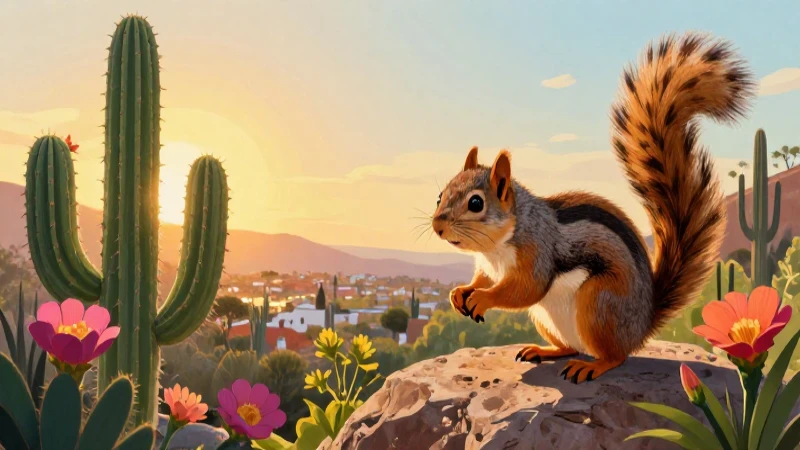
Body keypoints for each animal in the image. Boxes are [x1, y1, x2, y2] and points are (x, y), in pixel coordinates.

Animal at [431, 32, 755, 384]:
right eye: (440, 195)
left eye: (476, 203)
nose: (437, 226)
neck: (496, 247)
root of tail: (642, 325)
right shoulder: (490, 268)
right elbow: (482, 280)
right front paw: (461, 292)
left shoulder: (537, 252)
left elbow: (525, 289)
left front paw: (483, 298)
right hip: (548, 317)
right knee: (569, 347)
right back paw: (544, 350)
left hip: (599, 303)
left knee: (616, 356)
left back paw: (592, 366)